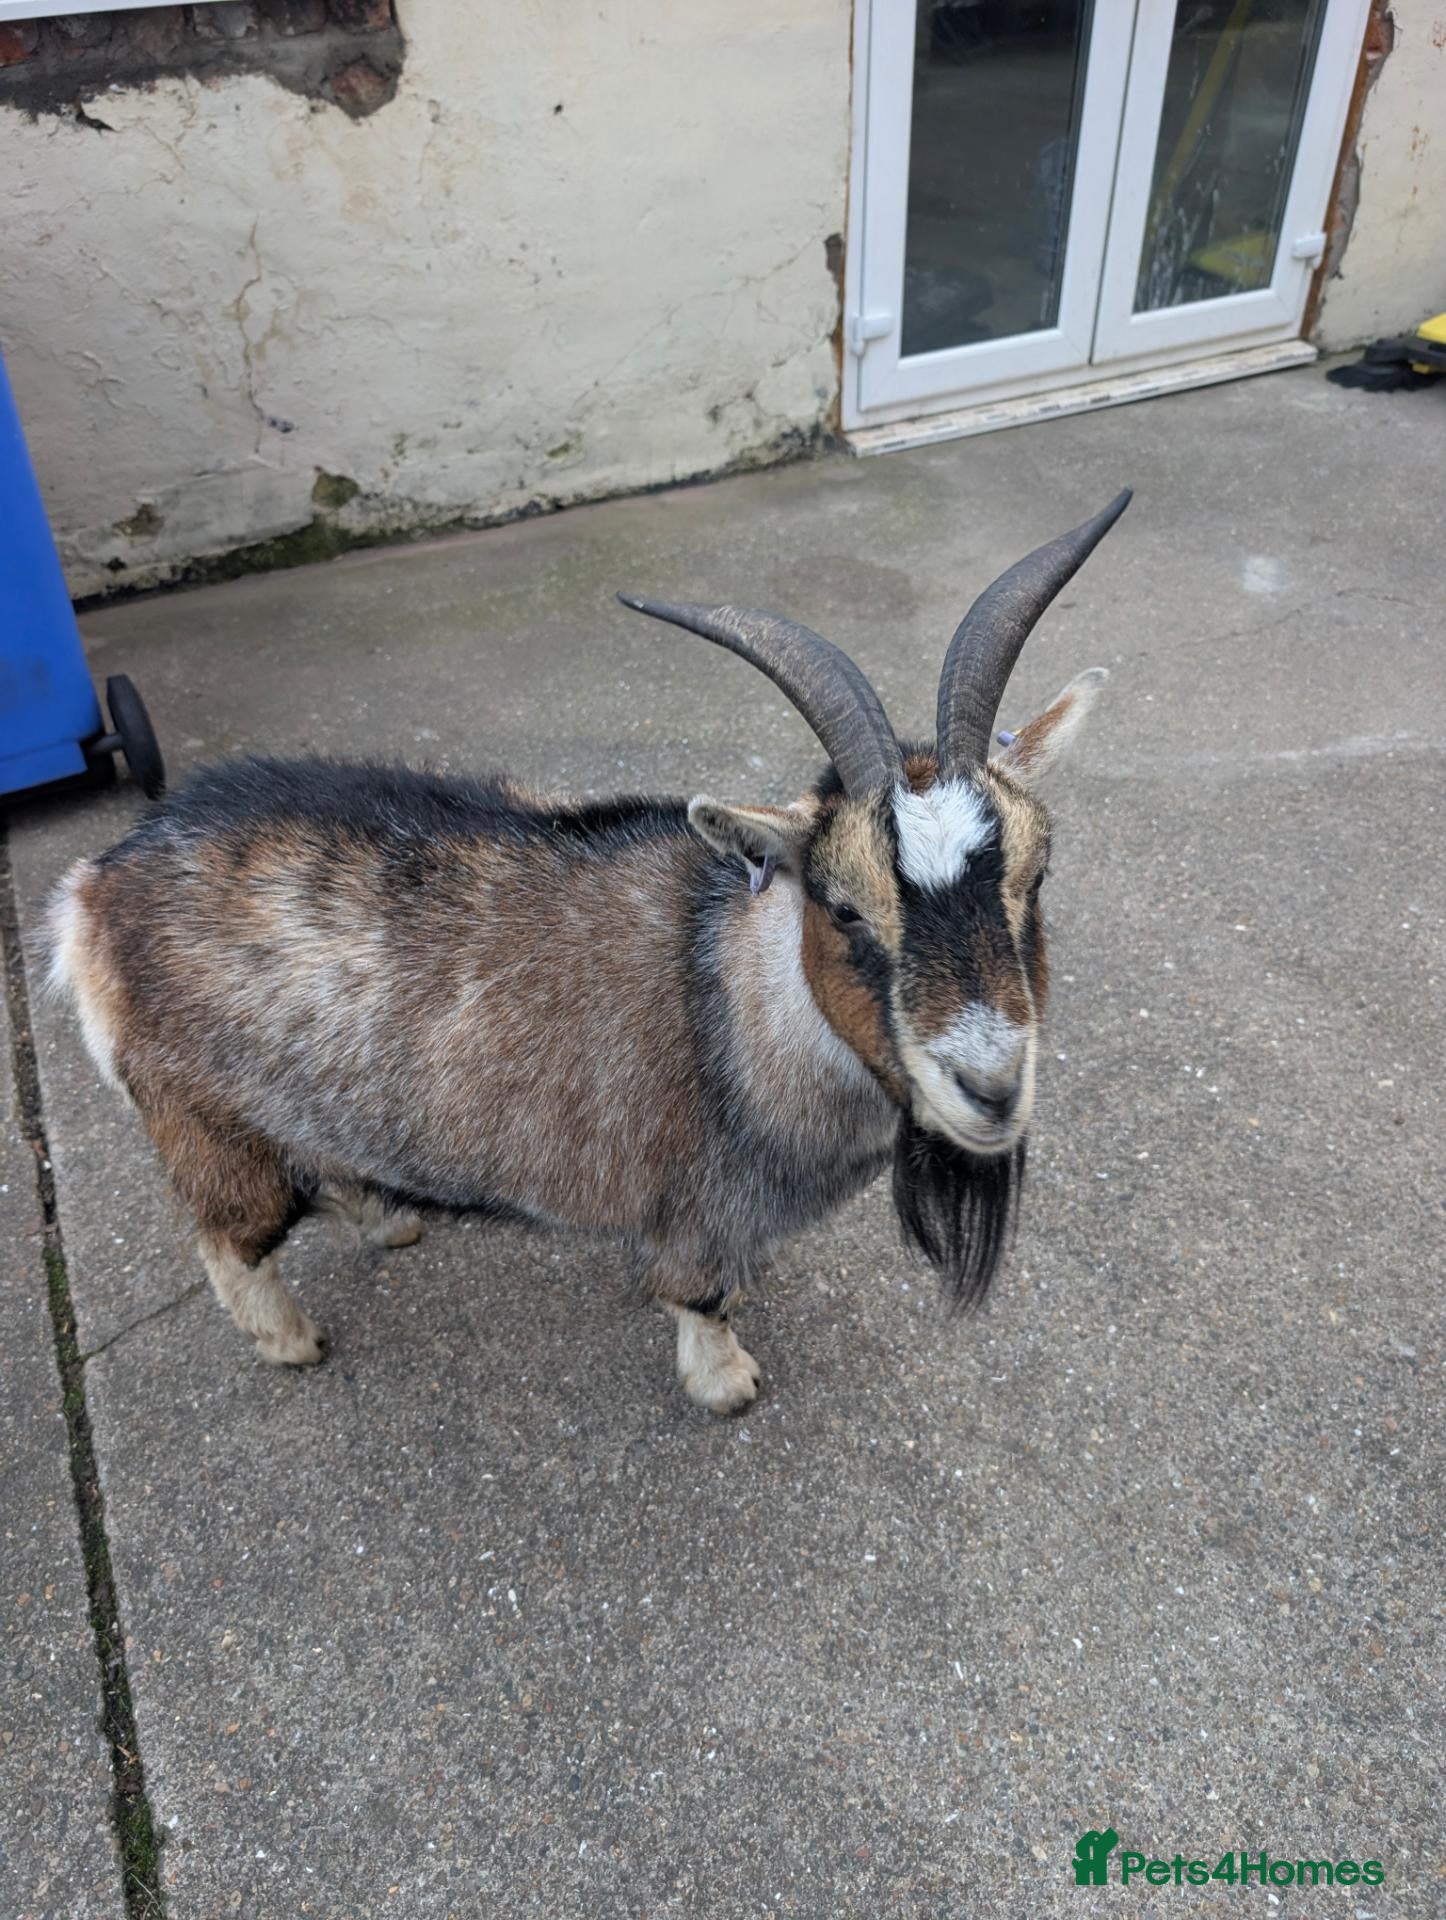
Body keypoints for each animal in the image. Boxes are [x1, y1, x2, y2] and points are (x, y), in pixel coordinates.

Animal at [48, 491, 1129, 1411]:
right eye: (843, 908)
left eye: (1036, 876)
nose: (990, 1087)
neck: (733, 993)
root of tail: (94, 888)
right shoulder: (700, 1202)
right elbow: (699, 1297)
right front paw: (724, 1380)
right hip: (209, 1123)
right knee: (229, 1243)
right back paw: (290, 1339)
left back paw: (390, 1218)